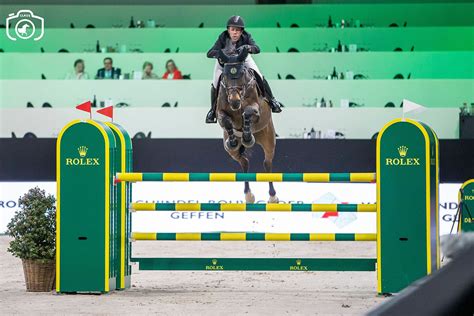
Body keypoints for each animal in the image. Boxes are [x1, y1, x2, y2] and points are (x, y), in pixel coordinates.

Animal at [215, 48, 278, 204]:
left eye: (242, 74)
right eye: (225, 76)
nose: (234, 101)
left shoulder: (256, 109)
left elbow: (248, 113)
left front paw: (248, 137)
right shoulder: (220, 113)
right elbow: (226, 121)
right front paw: (233, 140)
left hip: (268, 138)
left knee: (267, 163)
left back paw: (273, 197)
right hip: (232, 152)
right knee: (244, 162)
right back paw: (248, 195)